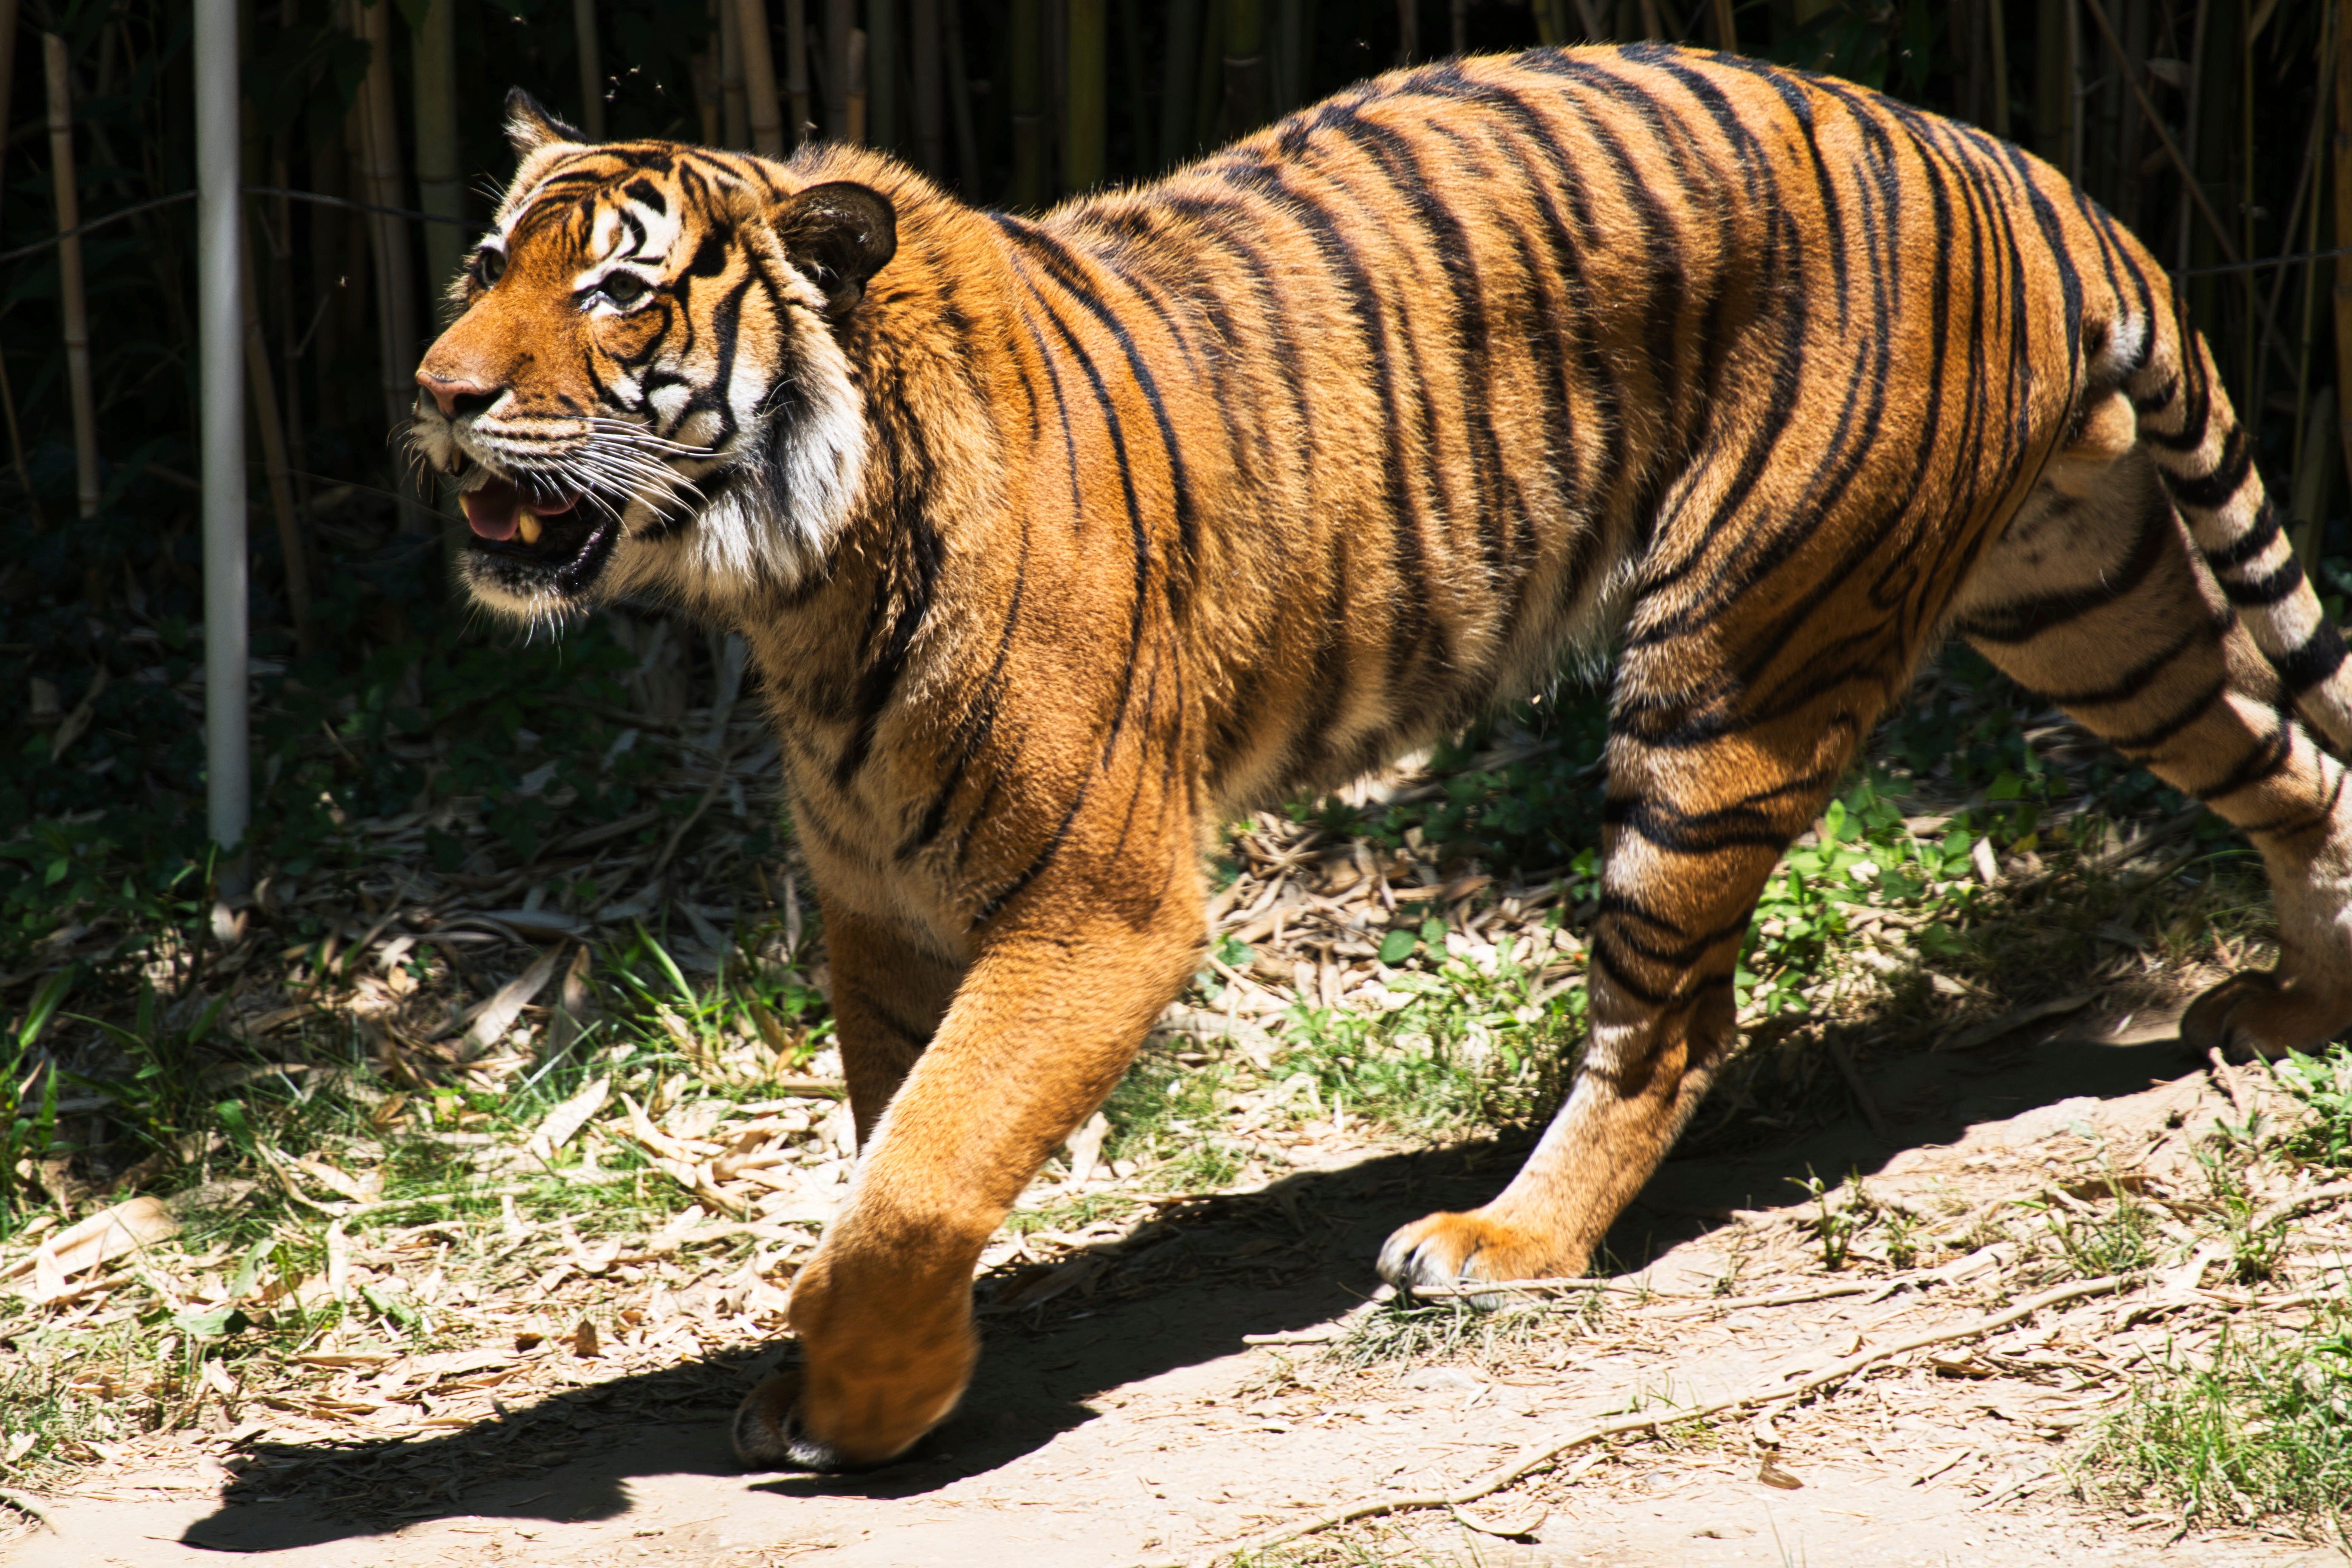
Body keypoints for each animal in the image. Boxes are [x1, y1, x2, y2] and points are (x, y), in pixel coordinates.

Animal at [411, 43, 2352, 1472]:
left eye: (620, 291)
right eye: (485, 268)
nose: (435, 391)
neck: (799, 585)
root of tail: (2012, 164)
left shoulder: (1100, 905)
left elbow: (921, 1170)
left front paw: (869, 1400)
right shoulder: (881, 909)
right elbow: (901, 1142)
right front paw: (867, 1375)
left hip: (1732, 660)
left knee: (1671, 1013)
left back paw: (1503, 1244)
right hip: (2079, 591)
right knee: (2289, 763)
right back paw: (2302, 1010)